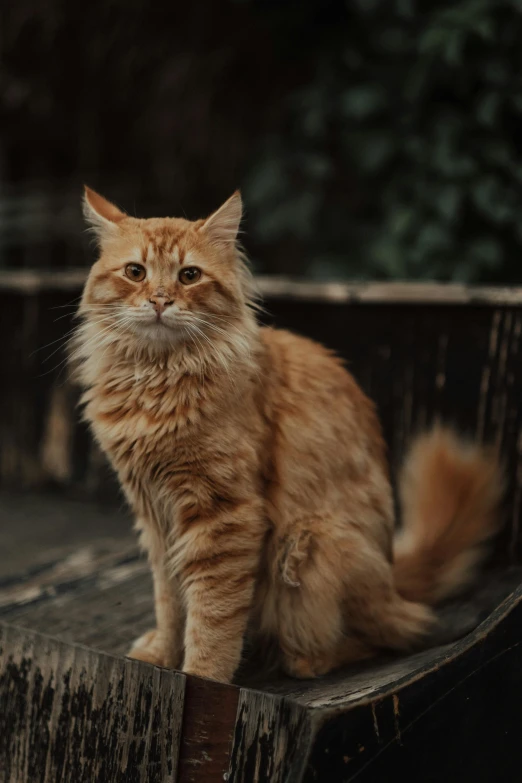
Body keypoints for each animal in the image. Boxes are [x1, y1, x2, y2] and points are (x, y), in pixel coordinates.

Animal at [75, 187, 502, 684]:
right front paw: (163, 652)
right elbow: (170, 600)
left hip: (310, 545)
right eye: (135, 272)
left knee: (377, 639)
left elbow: (212, 615)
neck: (157, 377)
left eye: (189, 276)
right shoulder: (156, 518)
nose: (160, 301)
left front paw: (201, 676)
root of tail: (393, 579)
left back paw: (299, 659)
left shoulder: (225, 515)